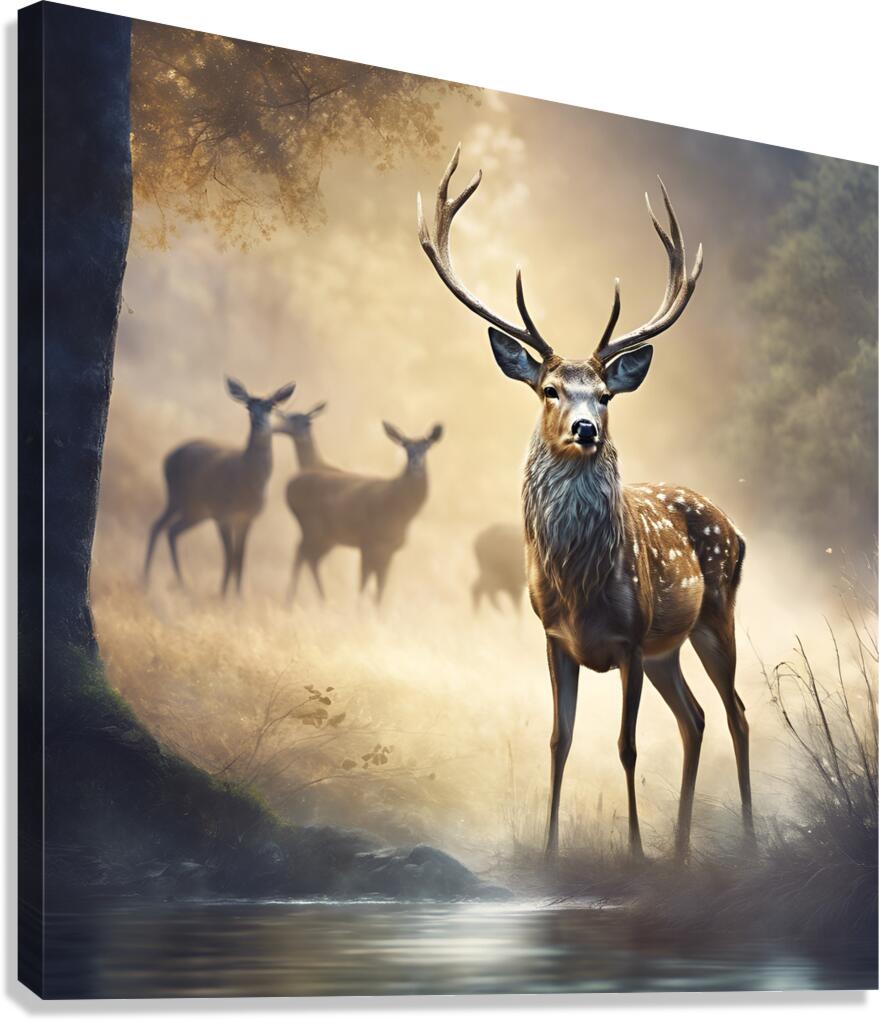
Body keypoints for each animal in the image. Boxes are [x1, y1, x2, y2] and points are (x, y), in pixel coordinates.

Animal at [144, 377, 295, 597]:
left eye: (271, 406)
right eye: (248, 407)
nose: (259, 423)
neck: (247, 479)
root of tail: (168, 457)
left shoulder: (247, 517)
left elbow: (241, 557)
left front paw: (239, 596)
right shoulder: (223, 514)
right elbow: (229, 556)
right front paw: (223, 595)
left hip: (196, 511)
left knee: (171, 530)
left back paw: (176, 581)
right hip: (177, 496)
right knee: (159, 526)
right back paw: (150, 578)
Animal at [283, 421, 443, 605]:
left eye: (427, 446)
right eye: (406, 448)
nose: (416, 464)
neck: (400, 510)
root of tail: (288, 486)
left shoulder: (389, 548)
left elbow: (381, 586)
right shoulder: (368, 541)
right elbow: (364, 582)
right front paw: (359, 609)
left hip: (327, 537)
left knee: (307, 556)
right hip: (312, 526)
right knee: (305, 555)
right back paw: (313, 600)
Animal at [418, 147, 752, 860]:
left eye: (604, 394)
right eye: (549, 388)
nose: (586, 428)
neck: (580, 585)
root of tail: (735, 530)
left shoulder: (630, 639)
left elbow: (625, 747)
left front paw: (634, 852)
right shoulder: (554, 638)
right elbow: (559, 741)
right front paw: (549, 853)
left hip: (713, 615)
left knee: (735, 712)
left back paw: (745, 837)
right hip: (667, 650)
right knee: (696, 718)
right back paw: (681, 850)